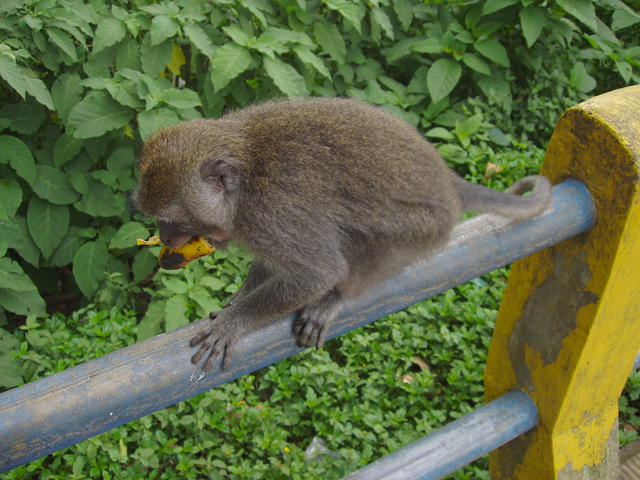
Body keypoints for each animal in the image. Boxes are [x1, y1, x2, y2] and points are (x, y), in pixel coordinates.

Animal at [133, 98, 551, 371]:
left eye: (174, 220)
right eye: (157, 219)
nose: (166, 240)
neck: (247, 175)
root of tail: (448, 181)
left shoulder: (272, 213)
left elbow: (318, 272)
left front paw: (236, 322)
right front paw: (238, 300)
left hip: (424, 228)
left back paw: (336, 297)